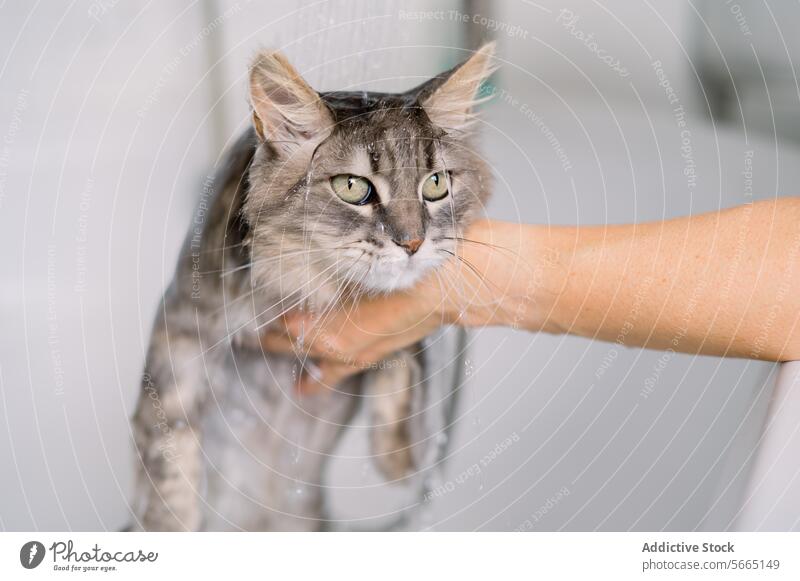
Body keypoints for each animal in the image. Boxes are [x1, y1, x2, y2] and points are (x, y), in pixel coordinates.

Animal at [132, 42, 494, 532]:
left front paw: (398, 457)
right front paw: (169, 520)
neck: (308, 284)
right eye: (352, 187)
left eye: (436, 184)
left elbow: (406, 367)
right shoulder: (182, 324)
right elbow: (168, 437)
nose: (413, 243)